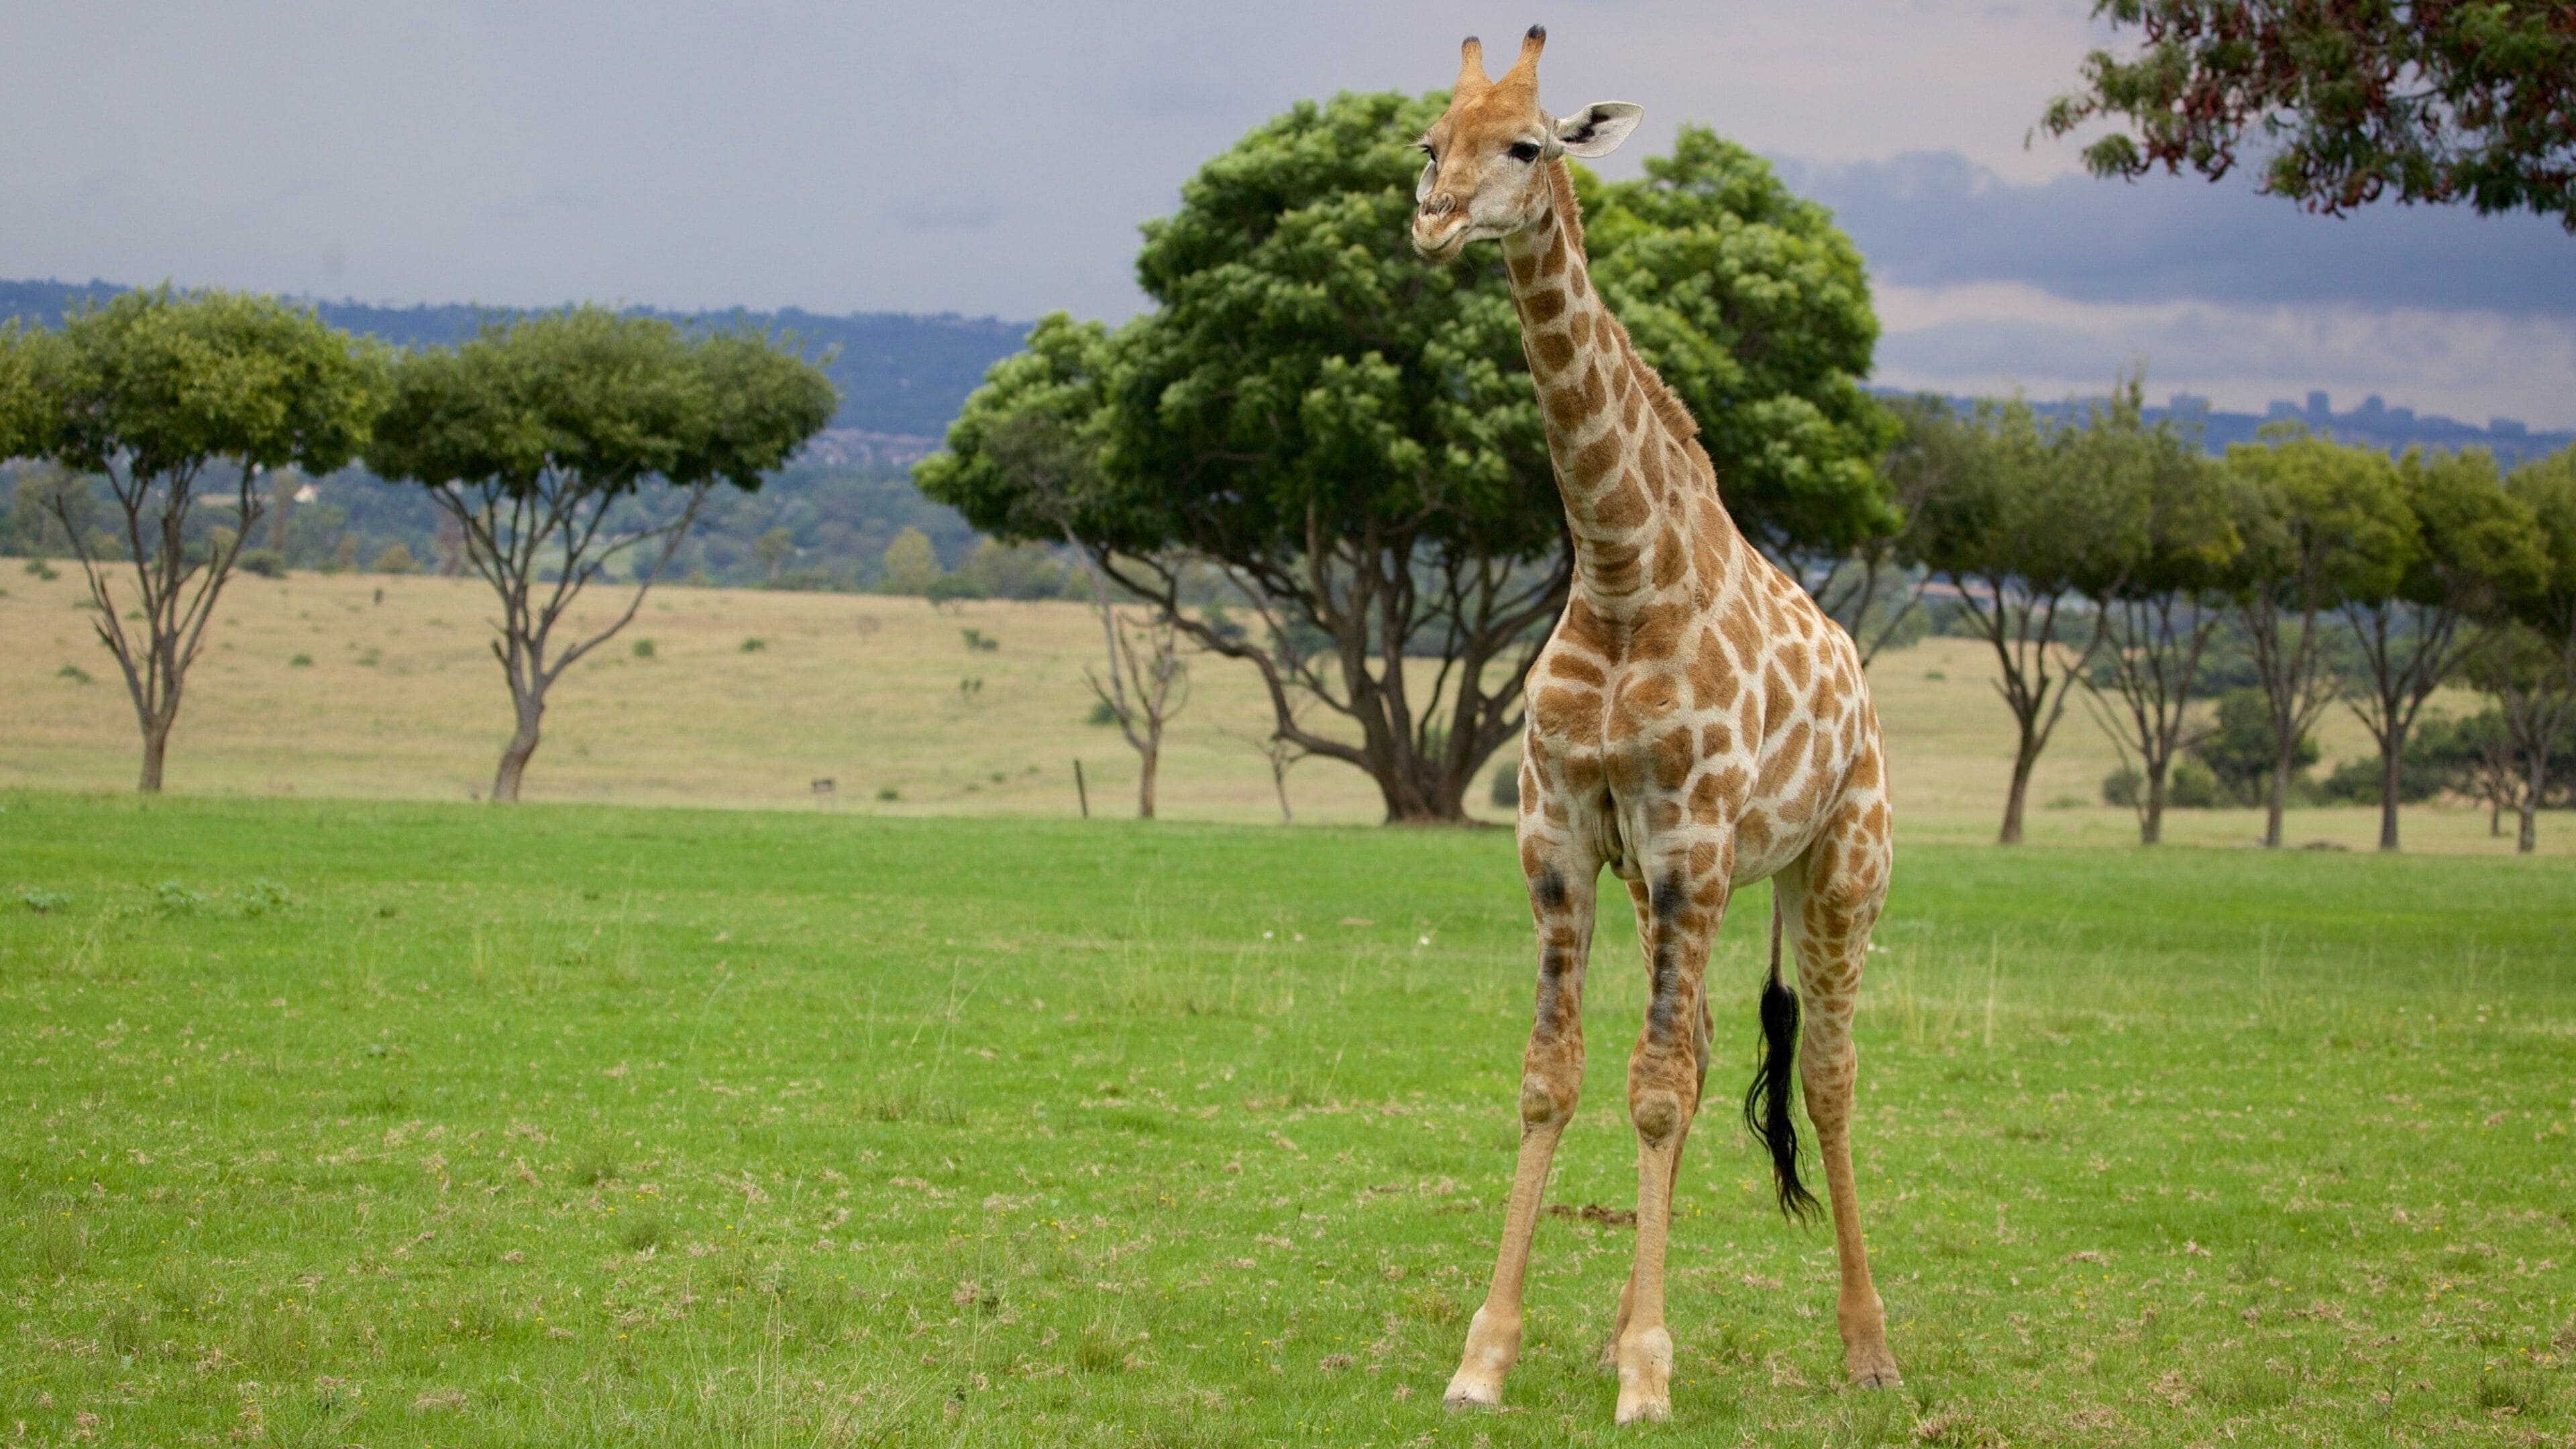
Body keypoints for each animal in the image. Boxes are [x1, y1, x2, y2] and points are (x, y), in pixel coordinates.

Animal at [1410, 28, 1902, 1426]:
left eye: (1529, 144)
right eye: (1429, 141)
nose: (1434, 218)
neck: (1627, 572)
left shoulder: (1690, 844)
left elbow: (1657, 1092)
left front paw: (1646, 1376)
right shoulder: (1563, 838)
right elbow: (1560, 1079)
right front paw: (1493, 1357)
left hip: (1838, 868)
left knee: (1827, 1076)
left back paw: (1869, 1350)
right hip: (1689, 886)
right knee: (1699, 1057)